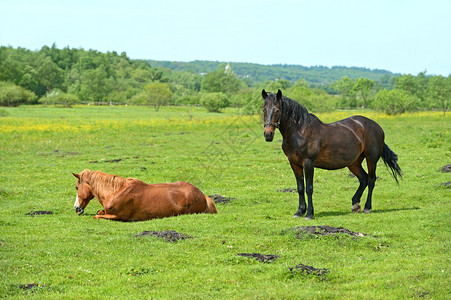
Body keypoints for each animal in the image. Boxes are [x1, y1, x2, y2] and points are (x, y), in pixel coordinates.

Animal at [72, 170, 217, 221]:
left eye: (76, 187)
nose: (76, 208)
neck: (116, 192)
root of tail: (203, 196)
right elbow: (99, 212)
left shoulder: (118, 216)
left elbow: (97, 215)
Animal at [264, 89, 404, 220]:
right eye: (264, 109)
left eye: (277, 110)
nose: (268, 134)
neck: (300, 131)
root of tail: (376, 126)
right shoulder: (294, 163)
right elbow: (300, 188)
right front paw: (299, 212)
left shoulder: (308, 163)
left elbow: (309, 188)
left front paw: (309, 214)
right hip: (353, 163)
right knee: (363, 179)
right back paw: (355, 205)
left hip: (371, 159)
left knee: (371, 180)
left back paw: (367, 207)